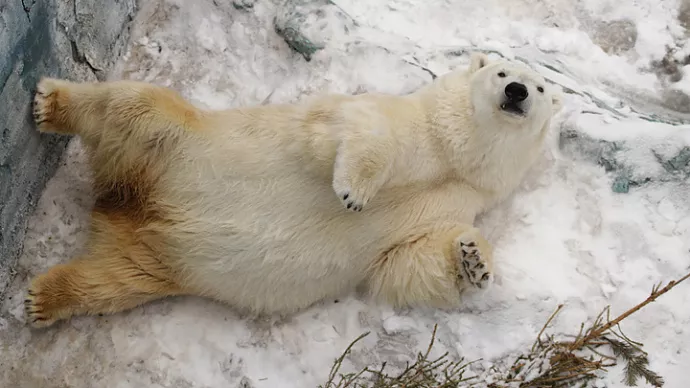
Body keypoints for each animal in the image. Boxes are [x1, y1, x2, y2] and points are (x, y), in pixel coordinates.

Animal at [25, 52, 560, 328]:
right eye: (501, 72)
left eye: (541, 87)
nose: (517, 92)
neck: (455, 156)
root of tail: (126, 206)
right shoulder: (400, 121)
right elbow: (359, 132)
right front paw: (354, 193)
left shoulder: (455, 201)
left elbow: (405, 263)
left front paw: (474, 260)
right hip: (174, 146)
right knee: (132, 106)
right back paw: (52, 103)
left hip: (156, 259)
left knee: (117, 280)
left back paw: (45, 299)